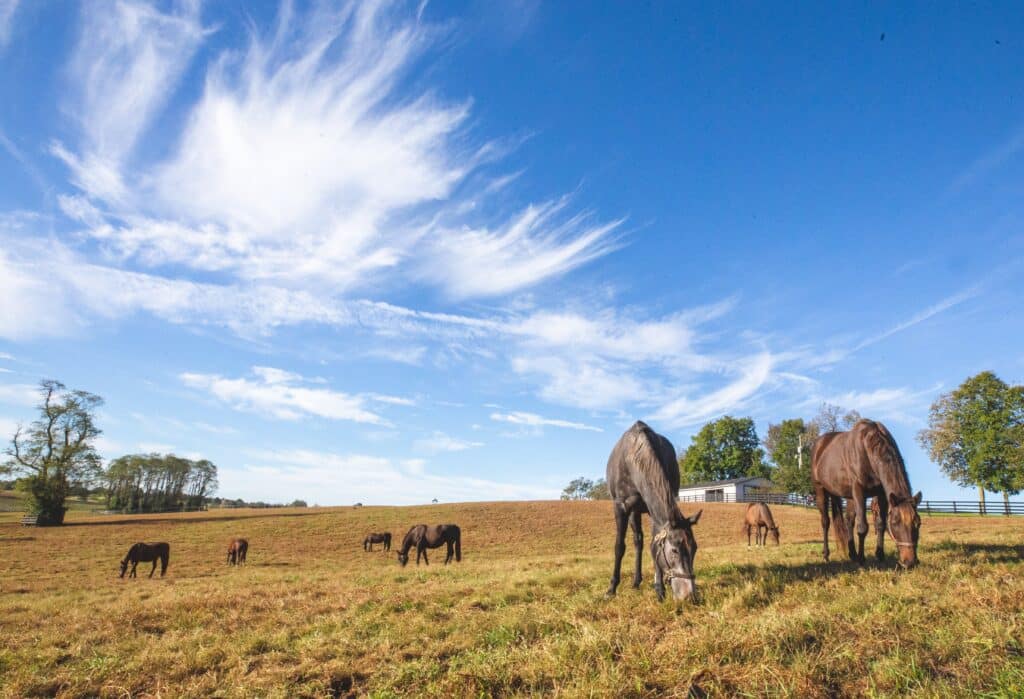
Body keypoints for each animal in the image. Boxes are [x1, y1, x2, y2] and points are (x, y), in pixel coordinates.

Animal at [605, 421, 702, 602]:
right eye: (674, 550)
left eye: (695, 549)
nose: (690, 596)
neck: (633, 456)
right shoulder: (620, 507)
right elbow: (619, 547)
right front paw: (611, 588)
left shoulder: (654, 512)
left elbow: (654, 544)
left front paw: (659, 588)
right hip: (633, 511)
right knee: (637, 540)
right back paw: (635, 582)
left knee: (640, 541)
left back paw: (639, 581)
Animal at [811, 419, 922, 567]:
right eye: (895, 522)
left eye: (918, 523)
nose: (910, 562)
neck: (868, 450)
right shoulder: (859, 491)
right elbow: (862, 527)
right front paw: (862, 560)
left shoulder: (881, 494)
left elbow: (880, 524)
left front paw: (880, 556)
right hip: (820, 490)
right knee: (825, 522)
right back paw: (826, 555)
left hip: (848, 496)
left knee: (849, 520)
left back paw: (852, 554)